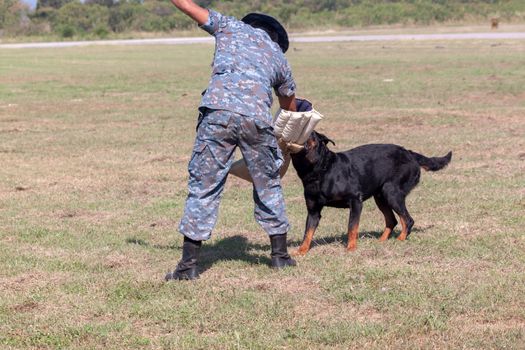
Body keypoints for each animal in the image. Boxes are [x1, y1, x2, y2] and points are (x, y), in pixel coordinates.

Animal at [286, 131, 450, 254]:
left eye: (310, 133)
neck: (320, 170)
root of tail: (410, 154)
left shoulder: (355, 201)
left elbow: (352, 227)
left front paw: (351, 248)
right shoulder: (313, 211)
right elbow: (308, 232)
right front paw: (301, 251)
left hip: (391, 192)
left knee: (408, 220)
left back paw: (400, 240)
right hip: (380, 197)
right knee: (392, 220)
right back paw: (382, 241)